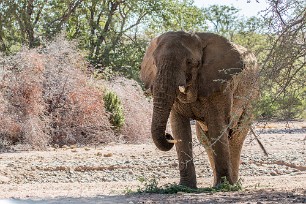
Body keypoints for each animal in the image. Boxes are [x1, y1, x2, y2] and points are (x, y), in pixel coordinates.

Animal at [140, 31, 258, 189]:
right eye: (154, 63)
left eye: (190, 62)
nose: (168, 136)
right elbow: (179, 126)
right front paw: (185, 187)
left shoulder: (220, 84)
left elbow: (217, 124)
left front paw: (222, 186)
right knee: (204, 137)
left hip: (252, 94)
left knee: (237, 135)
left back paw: (232, 184)